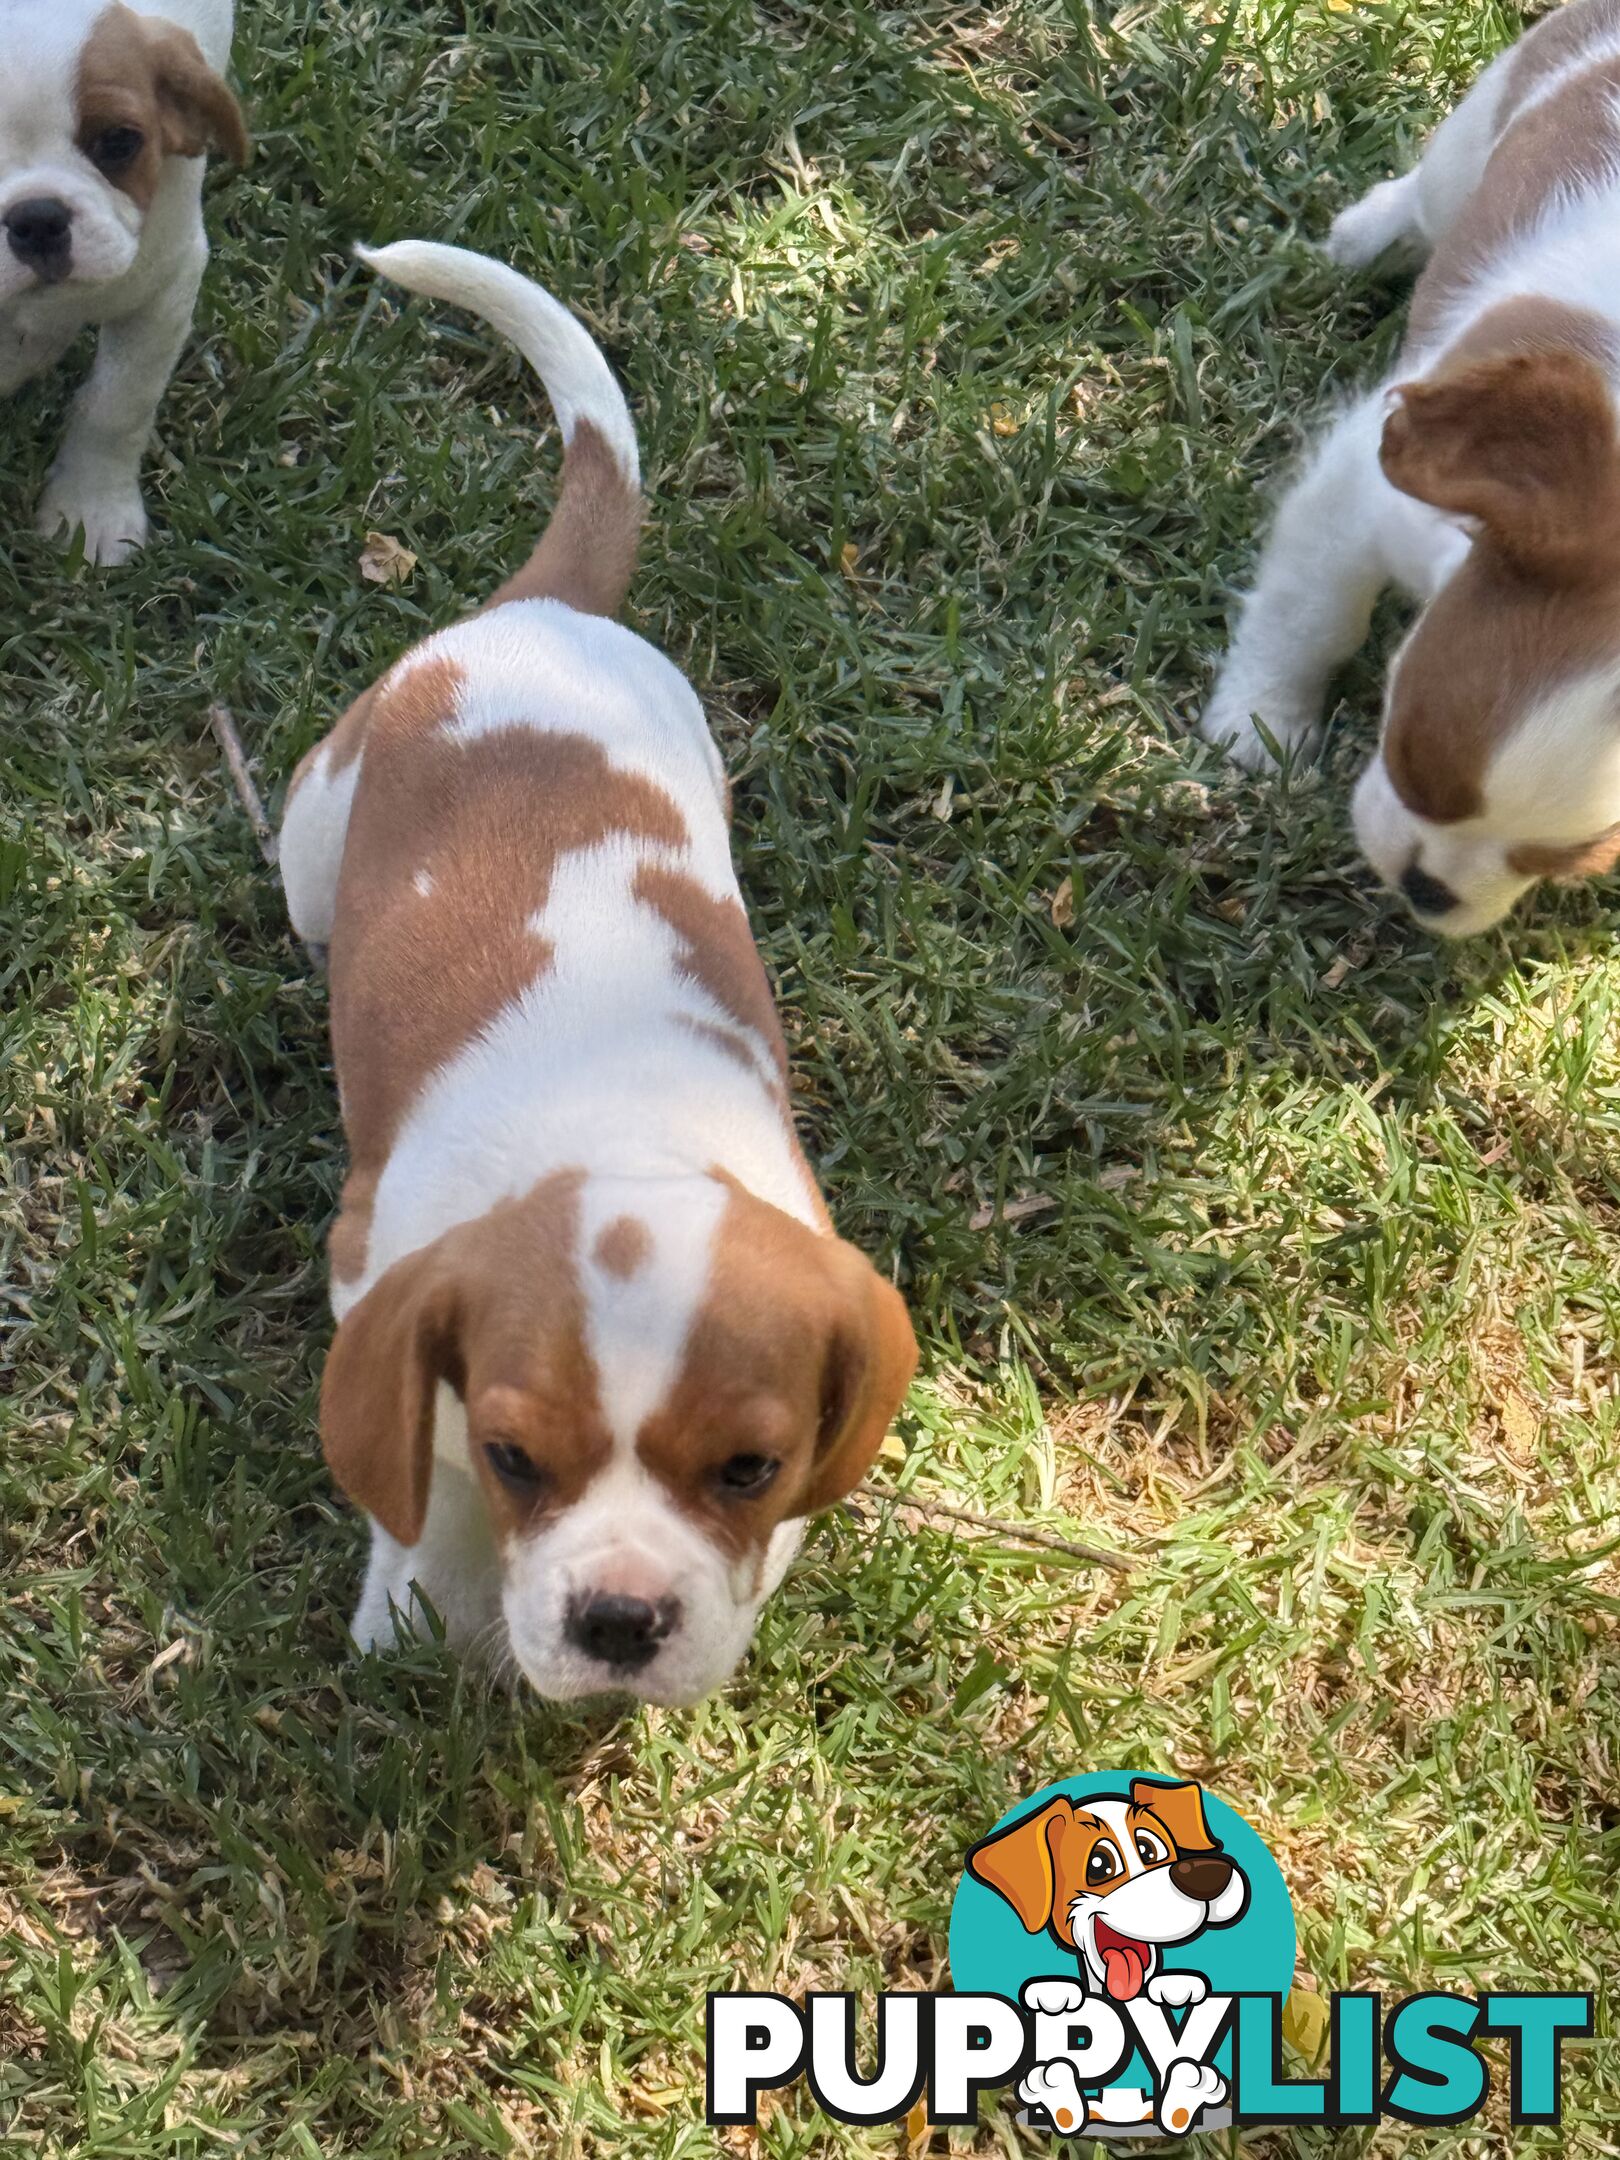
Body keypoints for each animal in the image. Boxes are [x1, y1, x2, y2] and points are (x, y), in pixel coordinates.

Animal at [278, 245, 915, 1710]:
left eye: (751, 1468)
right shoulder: (372, 1274)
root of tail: (546, 611)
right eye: (521, 1458)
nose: (622, 1621)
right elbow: (426, 1493)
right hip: (312, 830)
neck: (620, 1133)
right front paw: (415, 1613)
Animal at [1209, 4, 1620, 941]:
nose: (1424, 890)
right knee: (1428, 195)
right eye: (1410, 759)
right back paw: (1366, 237)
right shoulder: (1359, 494)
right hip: (1482, 129)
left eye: (1567, 863)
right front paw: (1260, 722)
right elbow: (1310, 615)